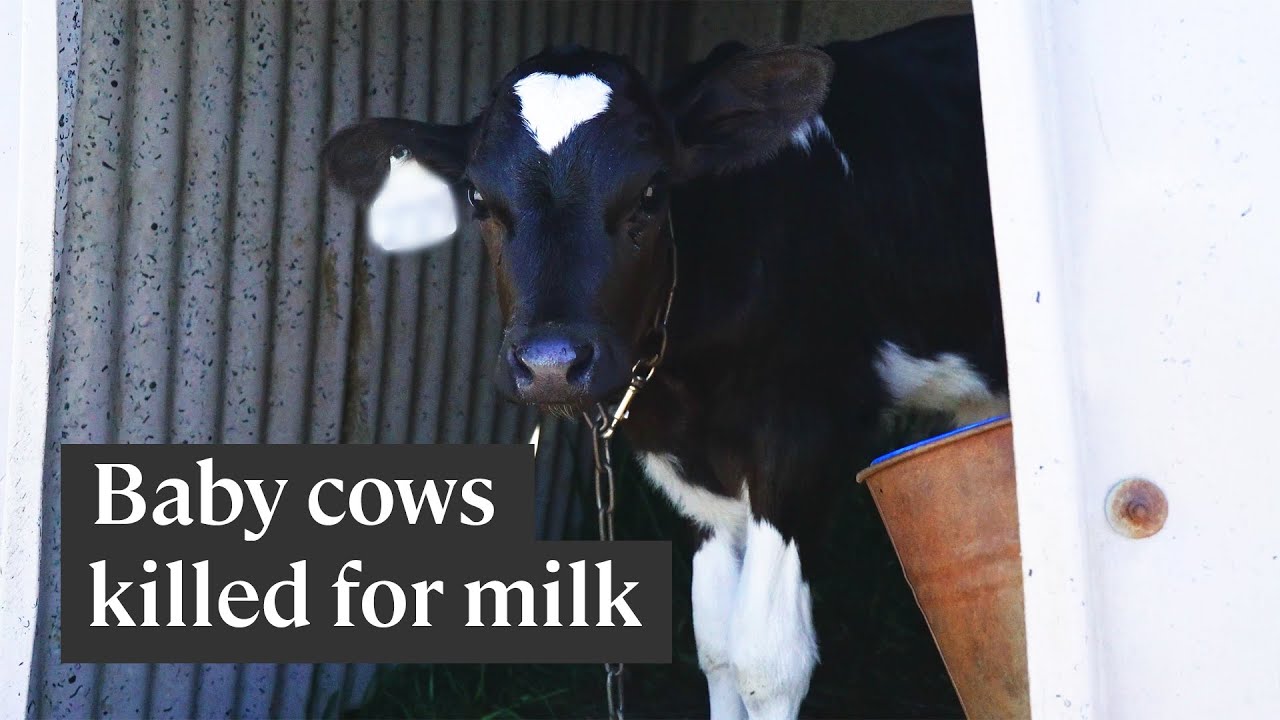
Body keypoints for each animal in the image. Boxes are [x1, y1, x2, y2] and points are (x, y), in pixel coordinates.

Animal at [323, 15, 1006, 719]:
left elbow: (767, 661)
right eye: (477, 197)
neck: (691, 384)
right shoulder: (687, 462)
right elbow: (718, 647)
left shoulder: (807, 431)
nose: (551, 364)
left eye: (652, 192)